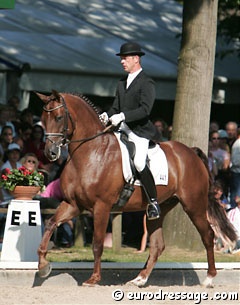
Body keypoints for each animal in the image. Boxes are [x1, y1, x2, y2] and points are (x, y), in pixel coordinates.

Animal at [36, 89, 236, 286]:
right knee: (157, 244)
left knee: (208, 235)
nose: (50, 153)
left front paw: (94, 278)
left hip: (194, 205)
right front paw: (43, 266)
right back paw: (140, 279)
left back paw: (209, 278)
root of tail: (191, 152)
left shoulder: (102, 207)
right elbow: (50, 223)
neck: (91, 153)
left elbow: (97, 243)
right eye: (44, 119)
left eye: (59, 117)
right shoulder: (73, 204)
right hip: (160, 208)